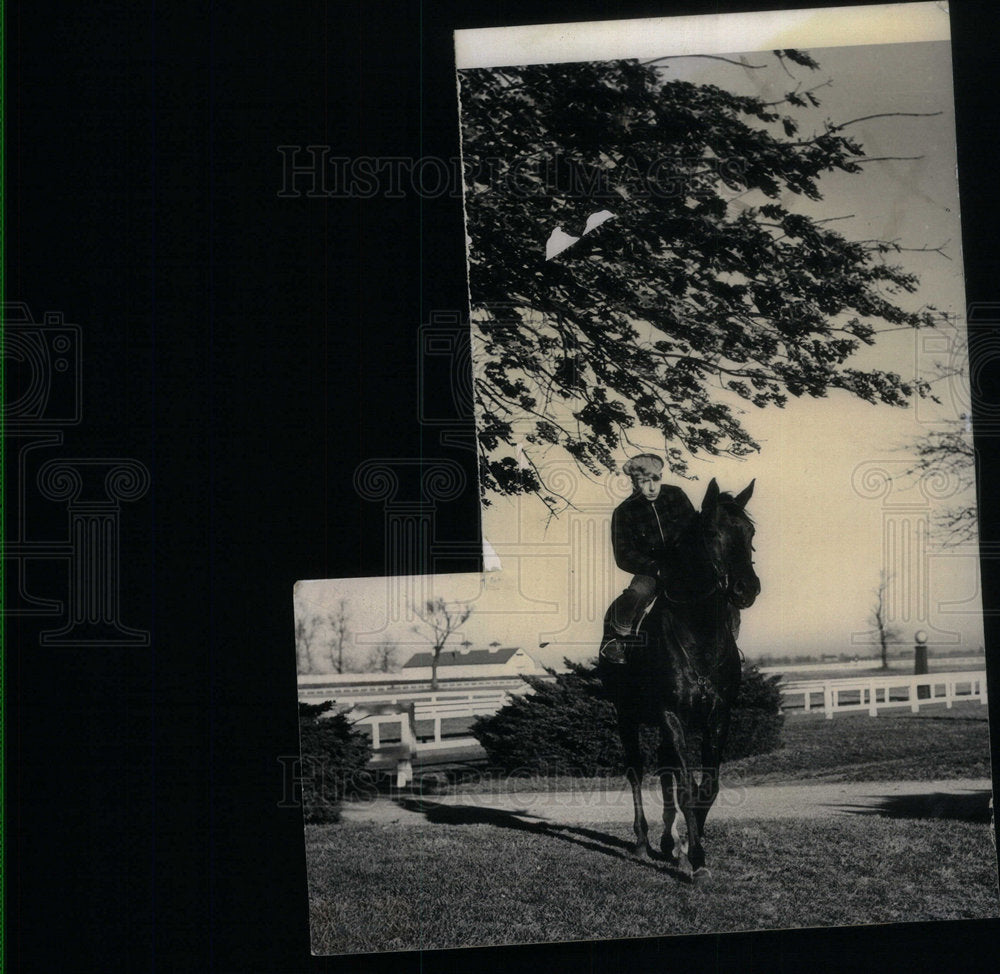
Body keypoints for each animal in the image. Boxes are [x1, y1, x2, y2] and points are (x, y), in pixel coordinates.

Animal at [600, 478, 756, 884]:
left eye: (750, 532)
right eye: (713, 533)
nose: (747, 589)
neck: (698, 633)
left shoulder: (717, 716)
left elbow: (706, 789)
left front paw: (688, 847)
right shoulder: (671, 715)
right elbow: (687, 788)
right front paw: (697, 859)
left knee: (665, 769)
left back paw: (669, 843)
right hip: (628, 717)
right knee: (637, 772)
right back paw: (642, 841)